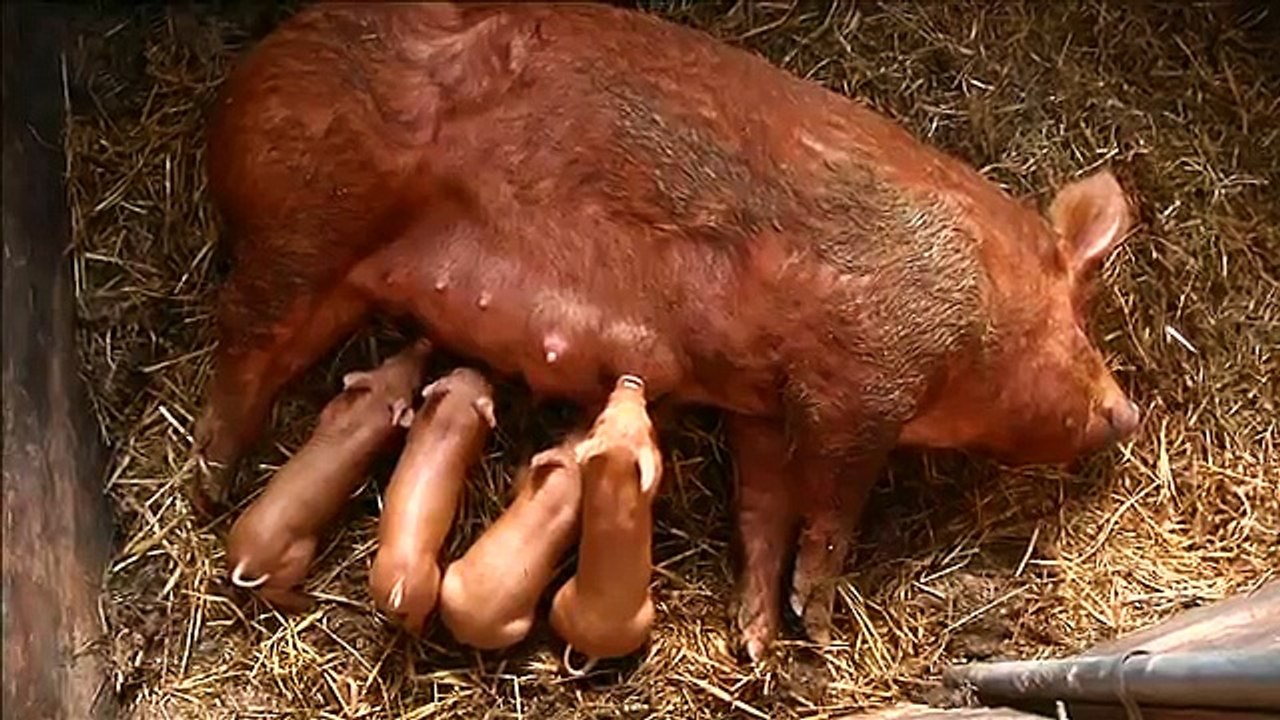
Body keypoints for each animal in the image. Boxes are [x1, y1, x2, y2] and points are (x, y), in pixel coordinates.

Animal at [225, 339, 431, 611]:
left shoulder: (333, 409)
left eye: (389, 360)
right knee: (273, 591)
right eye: (413, 386)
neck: (369, 409)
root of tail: (247, 559)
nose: (425, 343)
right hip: (298, 557)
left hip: (237, 532)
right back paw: (308, 602)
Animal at [368, 367, 496, 635]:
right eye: (486, 388)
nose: (476, 371)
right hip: (426, 594)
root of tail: (399, 586)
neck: (450, 417)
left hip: (379, 584)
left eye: (456, 371)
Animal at [549, 374, 663, 671]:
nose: (632, 380)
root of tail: (592, 648)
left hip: (559, 600)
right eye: (648, 426)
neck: (616, 471)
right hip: (646, 616)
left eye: (600, 419)